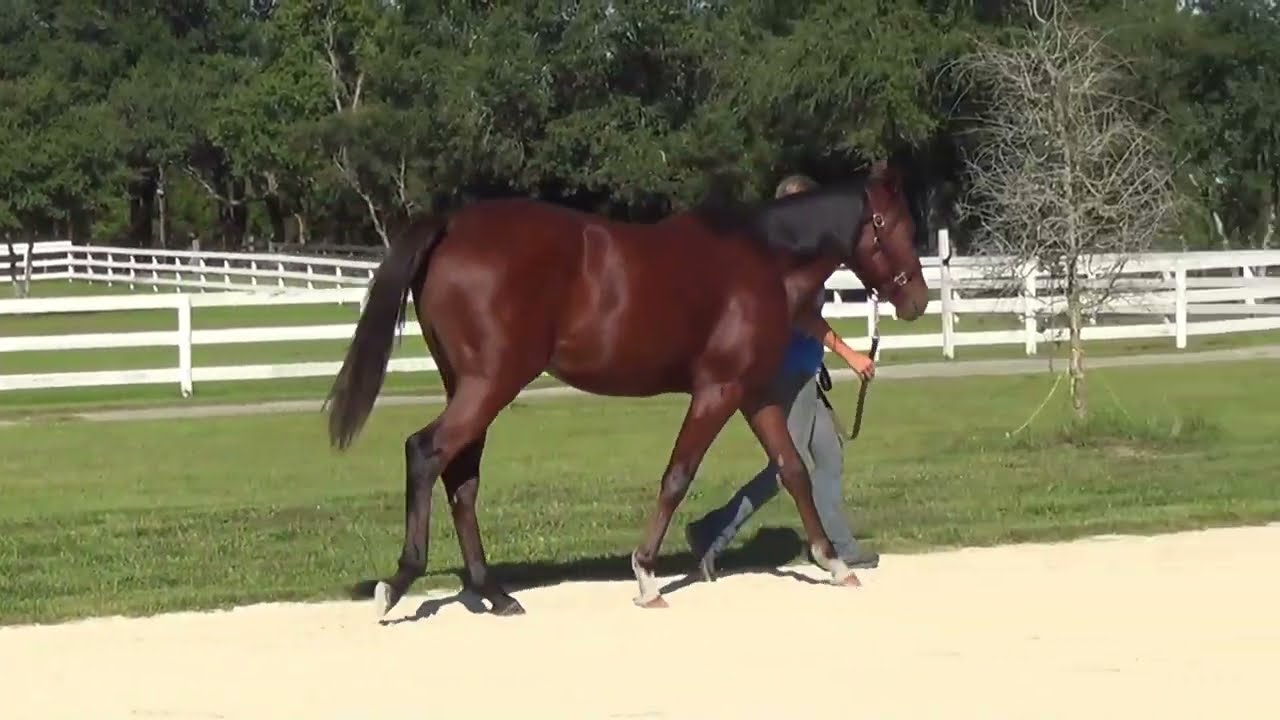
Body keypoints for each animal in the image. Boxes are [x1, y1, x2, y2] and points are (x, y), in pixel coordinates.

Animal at [324, 161, 929, 618]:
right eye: (891, 223)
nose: (917, 300)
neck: (764, 260)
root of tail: (451, 227)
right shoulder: (718, 390)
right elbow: (677, 476)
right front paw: (646, 576)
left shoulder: (754, 395)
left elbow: (794, 470)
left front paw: (835, 563)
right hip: (490, 384)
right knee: (426, 453)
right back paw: (399, 583)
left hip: (471, 386)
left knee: (462, 478)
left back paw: (494, 594)